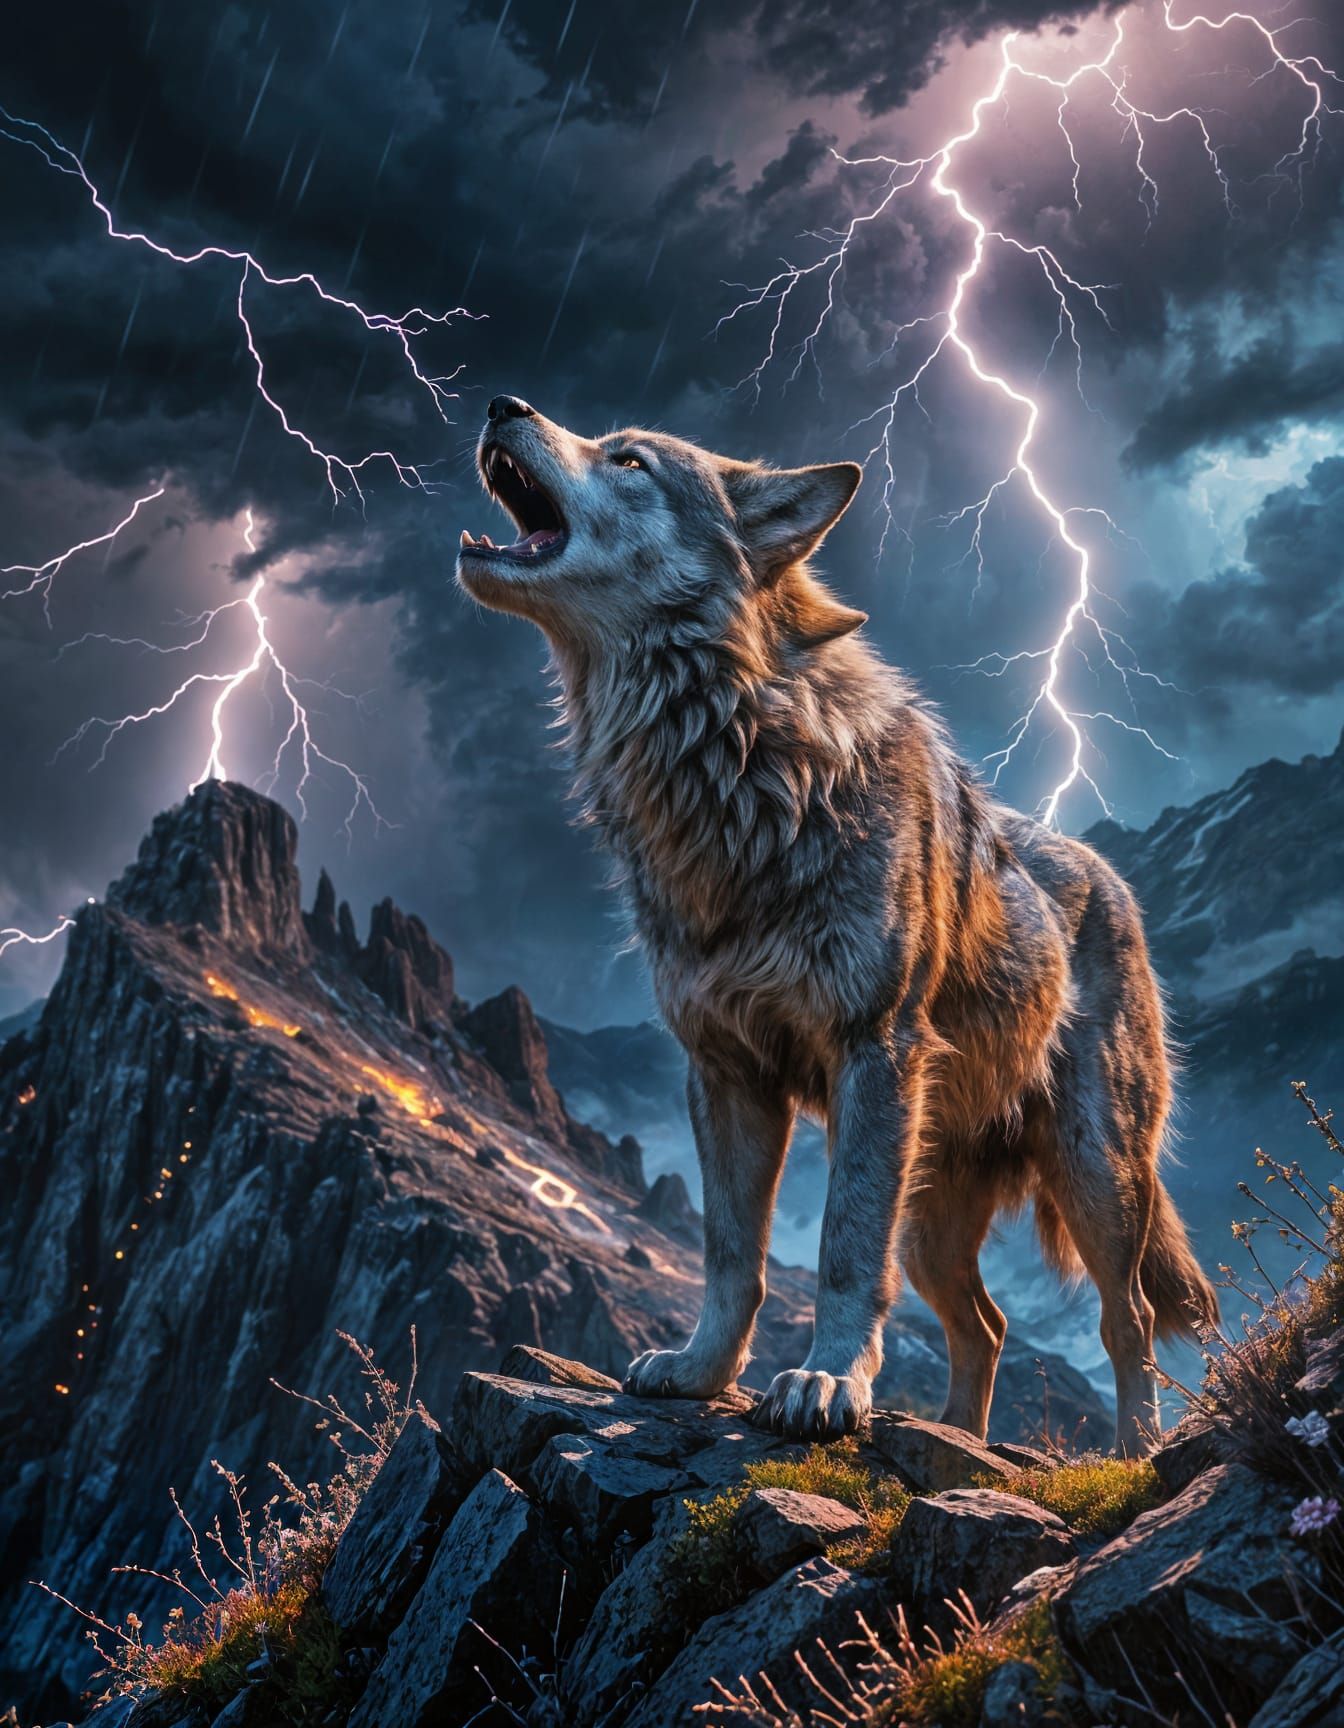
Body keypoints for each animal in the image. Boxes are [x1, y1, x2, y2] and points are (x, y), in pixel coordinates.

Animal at [456, 393, 1218, 1454]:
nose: (501, 403)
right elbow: (732, 1254)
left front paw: (824, 1384)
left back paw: (1133, 1448)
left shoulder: (872, 1053)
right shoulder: (724, 1071)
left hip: (1092, 1174)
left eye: (631, 460)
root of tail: (1114, 882)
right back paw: (956, 1438)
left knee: (1128, 1316)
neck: (738, 765)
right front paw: (701, 1372)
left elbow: (844, 1249)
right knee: (985, 1325)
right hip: (934, 1208)